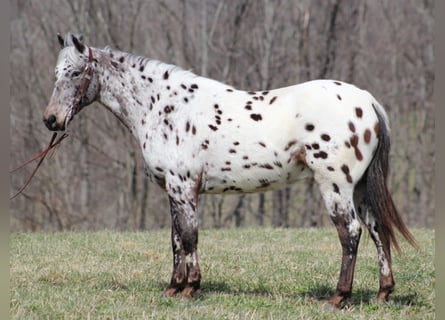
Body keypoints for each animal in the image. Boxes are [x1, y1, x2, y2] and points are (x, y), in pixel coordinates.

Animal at [42, 33, 416, 308]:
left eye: (74, 73)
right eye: (55, 74)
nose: (51, 120)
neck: (163, 106)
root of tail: (366, 100)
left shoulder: (183, 187)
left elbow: (189, 236)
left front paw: (190, 288)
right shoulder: (174, 191)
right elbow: (175, 238)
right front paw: (173, 287)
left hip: (335, 185)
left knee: (350, 232)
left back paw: (339, 297)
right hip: (360, 188)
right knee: (376, 230)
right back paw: (383, 292)